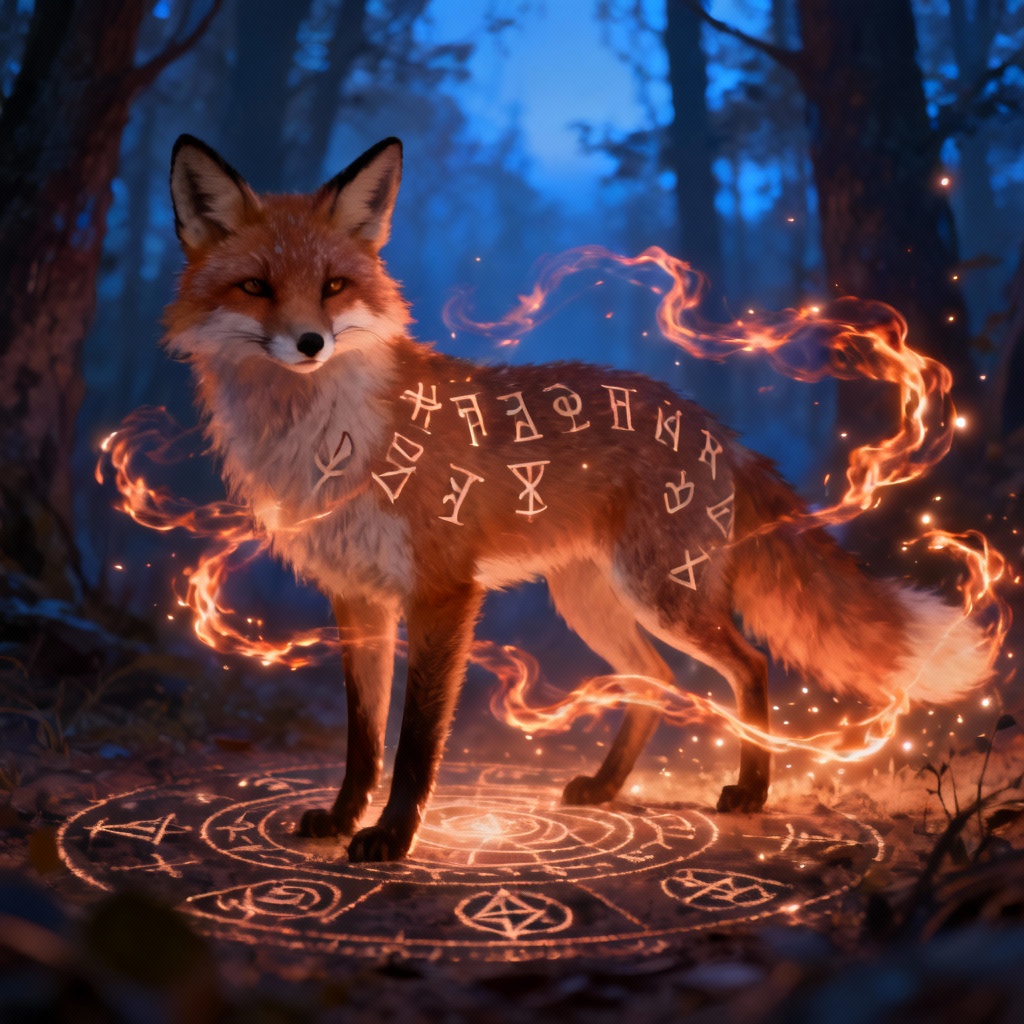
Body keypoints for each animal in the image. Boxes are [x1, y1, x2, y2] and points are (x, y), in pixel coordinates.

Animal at [165, 134, 991, 862]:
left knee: (749, 665)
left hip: (661, 594)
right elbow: (362, 740)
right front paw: (341, 820)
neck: (327, 436)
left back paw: (751, 790)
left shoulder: (442, 593)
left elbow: (415, 743)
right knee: (658, 680)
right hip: (590, 600)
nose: (310, 343)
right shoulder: (357, 600)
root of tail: (712, 425)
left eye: (334, 285)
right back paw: (607, 785)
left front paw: (393, 837)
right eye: (257, 286)